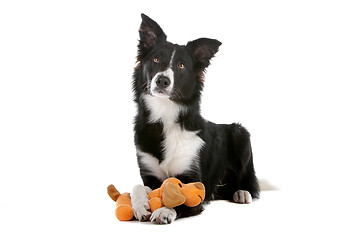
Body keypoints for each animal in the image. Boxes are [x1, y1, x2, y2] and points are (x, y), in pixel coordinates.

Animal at [131, 14, 258, 224]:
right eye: (156, 59)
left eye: (181, 65)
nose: (162, 80)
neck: (165, 115)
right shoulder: (149, 175)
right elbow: (138, 186)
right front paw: (140, 205)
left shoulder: (194, 179)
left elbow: (181, 197)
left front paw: (164, 210)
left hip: (240, 133)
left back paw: (242, 192)